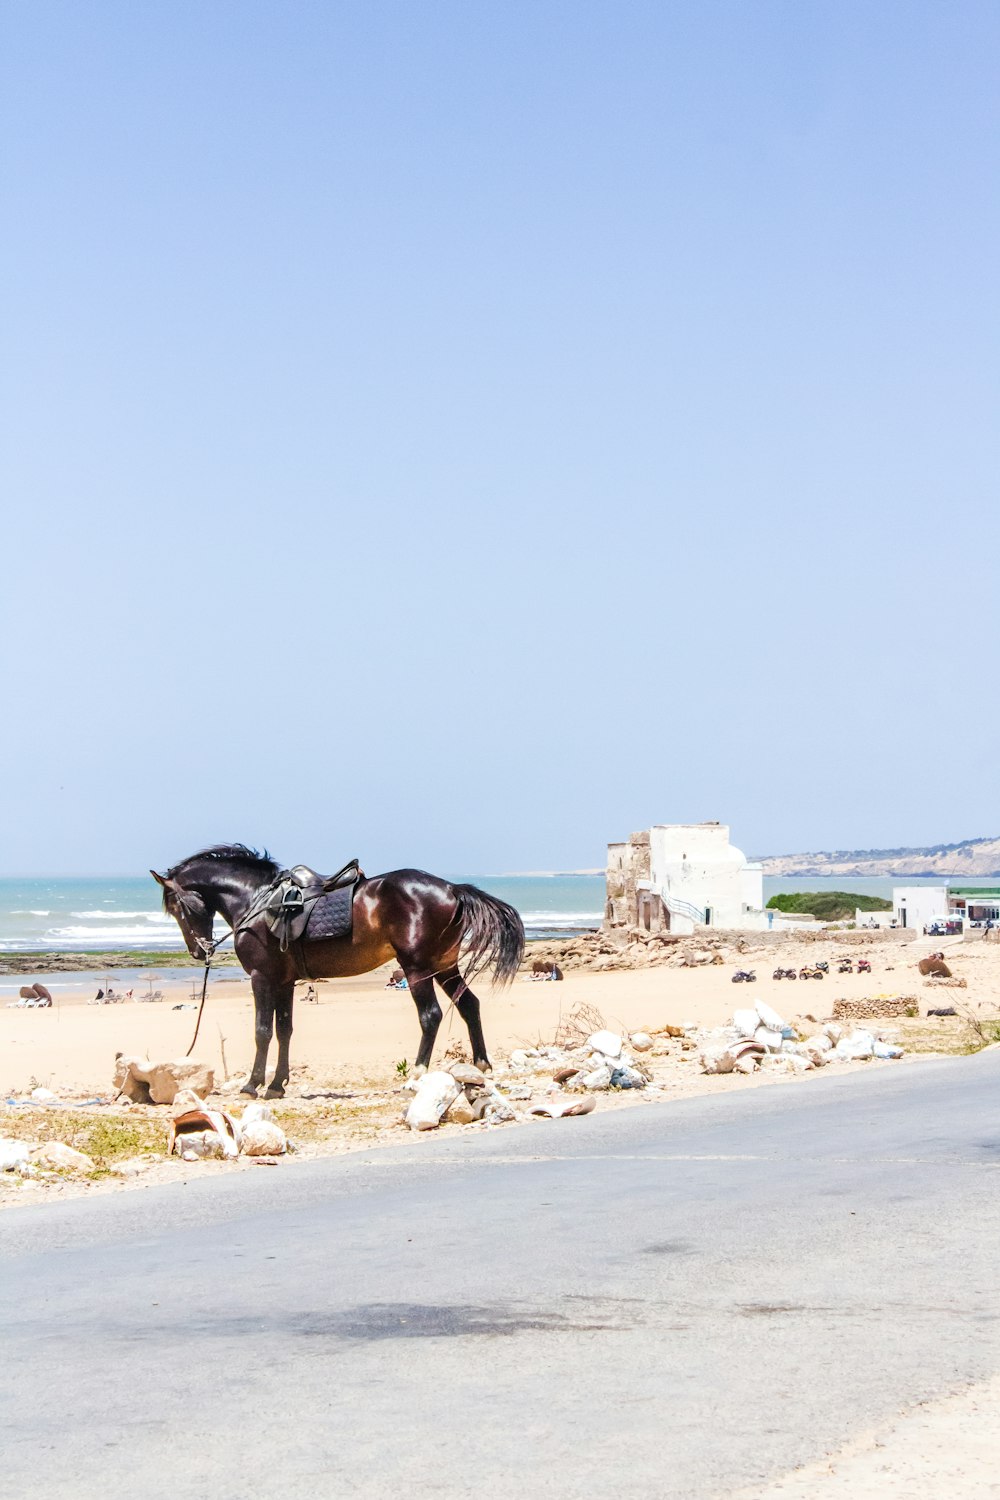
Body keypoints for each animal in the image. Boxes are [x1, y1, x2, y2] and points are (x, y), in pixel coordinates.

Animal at [153, 846, 527, 1104]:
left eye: (175, 907)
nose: (199, 951)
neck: (257, 901)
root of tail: (452, 888)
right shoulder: (285, 982)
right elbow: (284, 1030)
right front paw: (276, 1085)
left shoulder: (261, 978)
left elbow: (262, 1032)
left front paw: (252, 1084)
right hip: (444, 966)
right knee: (469, 1005)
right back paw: (481, 1066)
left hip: (418, 968)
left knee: (430, 1016)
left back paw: (417, 1075)